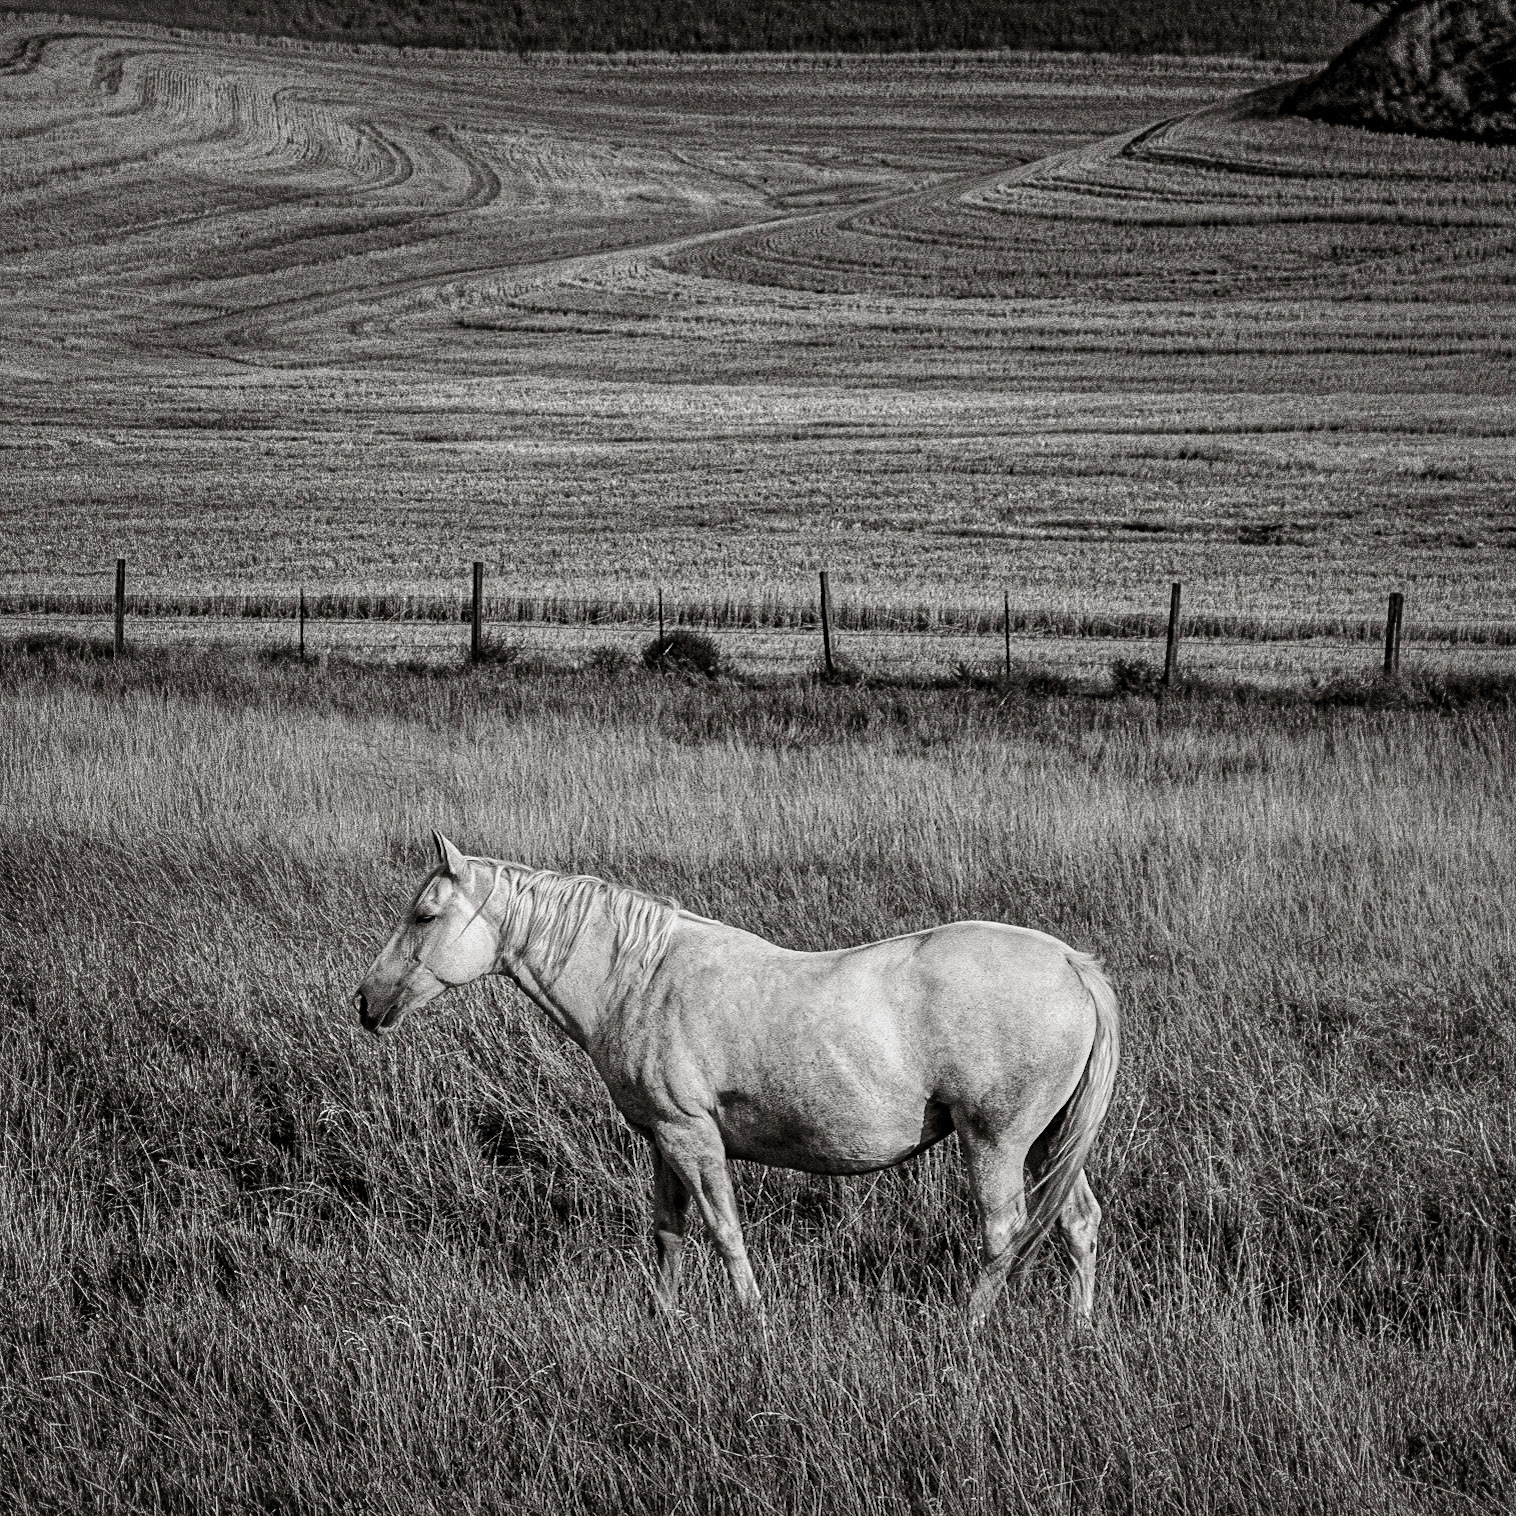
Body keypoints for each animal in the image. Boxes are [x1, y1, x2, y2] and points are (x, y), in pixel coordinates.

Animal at [355, 832, 1120, 1323]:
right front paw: (662, 1320)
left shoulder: (691, 1137)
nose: (366, 1001)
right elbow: (668, 1233)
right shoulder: (663, 1141)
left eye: (424, 914)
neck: (641, 979)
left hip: (995, 1142)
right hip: (1047, 1143)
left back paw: (968, 1331)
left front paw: (752, 1323)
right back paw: (1077, 1332)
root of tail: (1072, 965)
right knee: (1078, 1224)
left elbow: (724, 1232)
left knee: (1003, 1236)